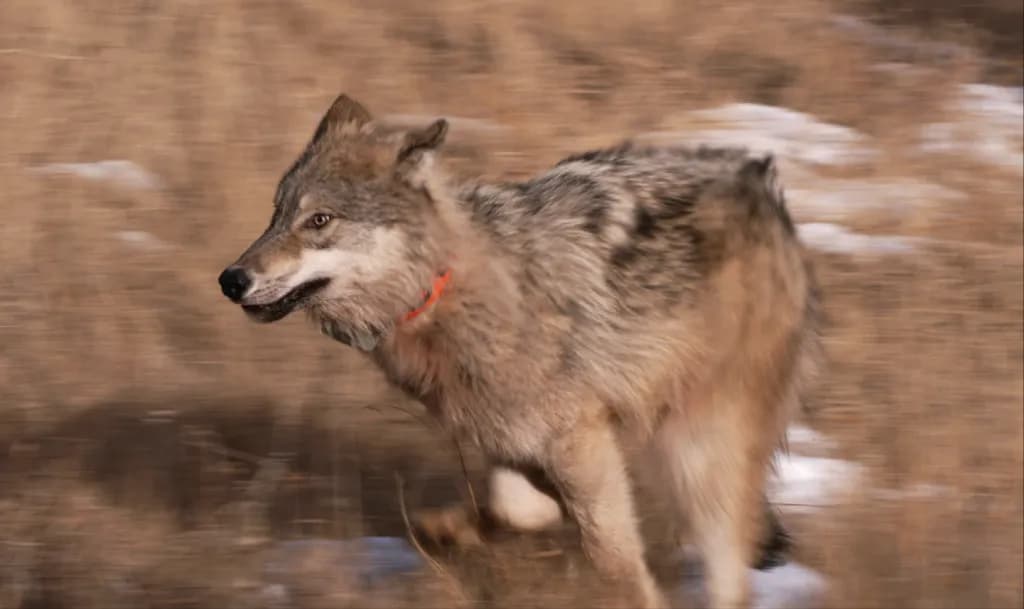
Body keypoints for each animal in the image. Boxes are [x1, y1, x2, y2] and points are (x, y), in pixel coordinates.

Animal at [218, 93, 821, 609]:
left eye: (319, 221)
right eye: (275, 216)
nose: (231, 279)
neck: (445, 293)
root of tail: (762, 183)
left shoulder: (580, 438)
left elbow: (614, 560)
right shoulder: (511, 437)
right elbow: (516, 508)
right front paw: (459, 528)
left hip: (701, 450)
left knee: (730, 574)